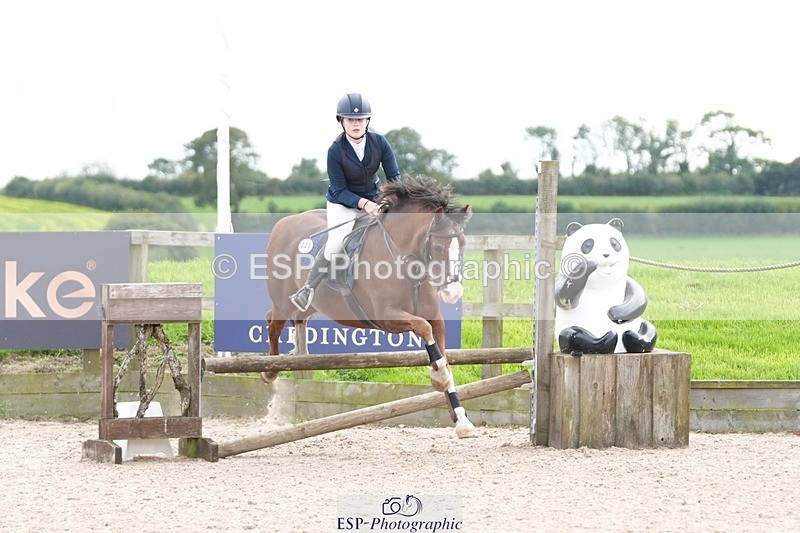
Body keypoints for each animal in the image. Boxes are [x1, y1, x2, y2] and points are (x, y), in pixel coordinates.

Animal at [262, 174, 477, 438]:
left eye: (463, 244)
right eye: (437, 247)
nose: (453, 293)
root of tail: (283, 224)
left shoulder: (434, 317)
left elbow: (441, 353)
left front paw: (461, 420)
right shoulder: (388, 317)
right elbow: (424, 330)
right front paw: (439, 378)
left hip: (307, 306)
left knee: (292, 320)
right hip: (283, 301)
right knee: (273, 323)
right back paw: (270, 371)